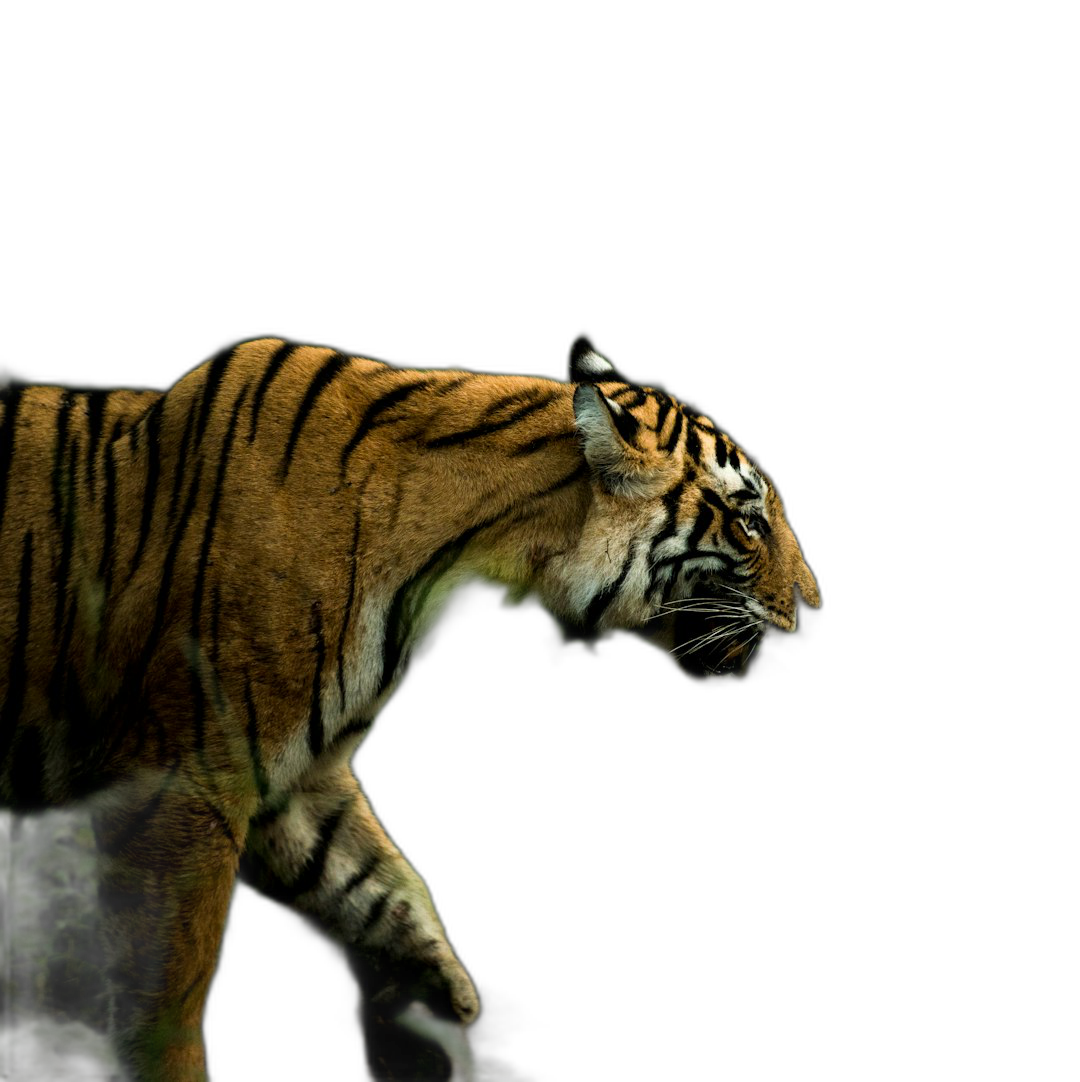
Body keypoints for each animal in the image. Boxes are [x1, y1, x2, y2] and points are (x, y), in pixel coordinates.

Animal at [0, 337, 818, 1082]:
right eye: (748, 521)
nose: (814, 606)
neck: (463, 555)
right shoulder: (184, 775)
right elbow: (170, 988)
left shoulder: (294, 778)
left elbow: (384, 895)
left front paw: (426, 1026)